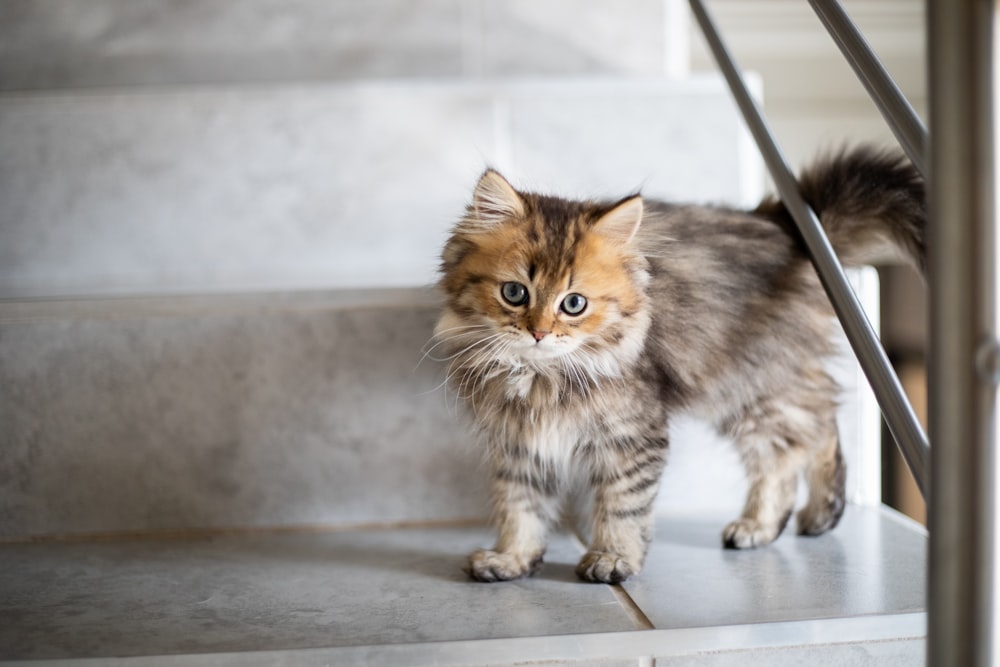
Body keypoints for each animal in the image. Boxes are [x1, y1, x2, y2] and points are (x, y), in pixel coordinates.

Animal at [434, 147, 924, 584]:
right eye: (514, 293)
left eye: (573, 304)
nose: (538, 333)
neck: (541, 376)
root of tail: (784, 224)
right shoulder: (520, 442)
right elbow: (520, 506)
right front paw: (512, 559)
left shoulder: (632, 435)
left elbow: (623, 505)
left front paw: (613, 558)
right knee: (804, 430)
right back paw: (777, 525)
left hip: (746, 385)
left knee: (809, 428)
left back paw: (805, 515)